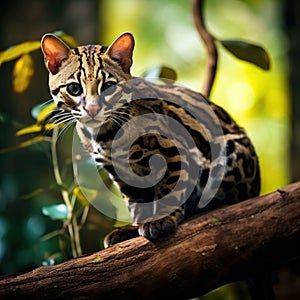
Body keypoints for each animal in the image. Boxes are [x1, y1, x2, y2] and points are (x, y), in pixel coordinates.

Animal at [40, 31, 260, 247]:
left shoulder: (174, 150)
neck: (104, 136)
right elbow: (136, 203)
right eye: (74, 89)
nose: (92, 109)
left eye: (109, 87)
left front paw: (161, 219)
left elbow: (169, 190)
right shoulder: (120, 172)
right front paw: (135, 227)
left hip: (229, 150)